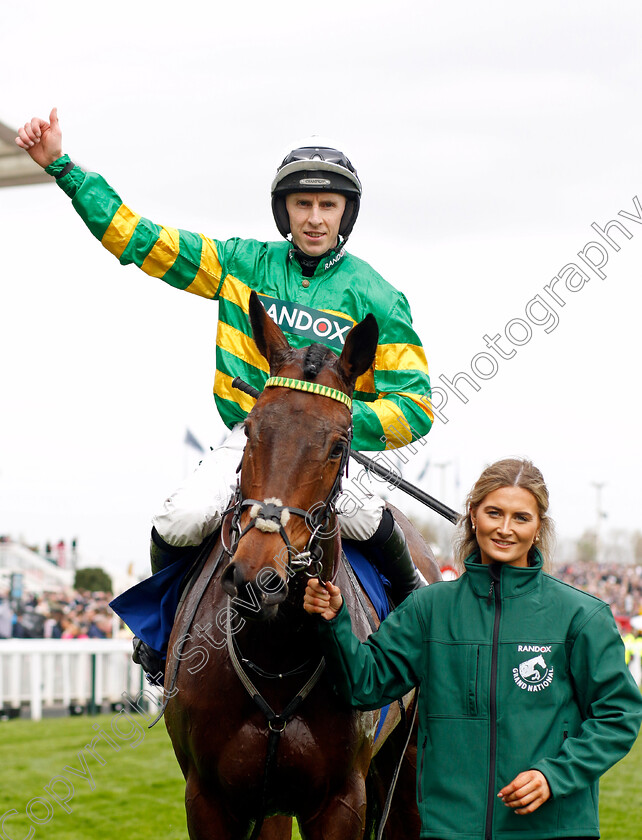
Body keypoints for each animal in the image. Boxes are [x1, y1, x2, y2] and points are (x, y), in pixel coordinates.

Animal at [162, 292, 440, 836]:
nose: (258, 574)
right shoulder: (209, 799)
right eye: (251, 430)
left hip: (410, 757)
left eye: (338, 445)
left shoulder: (341, 799)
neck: (274, 655)